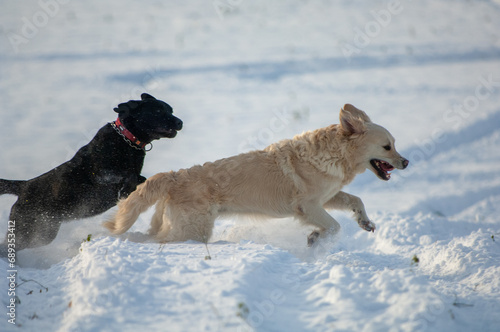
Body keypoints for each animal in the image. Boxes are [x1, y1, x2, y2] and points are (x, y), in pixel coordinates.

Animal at [0, 92, 184, 253]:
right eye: (158, 111)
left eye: (170, 110)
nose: (180, 122)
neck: (126, 139)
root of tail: (23, 187)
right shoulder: (101, 175)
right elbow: (129, 177)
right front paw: (125, 189)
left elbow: (140, 178)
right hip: (30, 230)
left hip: (43, 231)